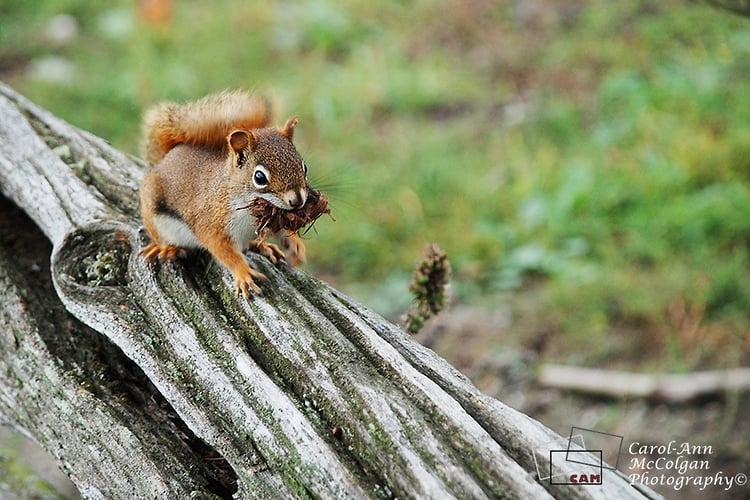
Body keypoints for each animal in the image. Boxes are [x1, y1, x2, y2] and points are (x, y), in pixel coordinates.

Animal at [139, 90, 309, 297]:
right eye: (259, 177)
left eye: (304, 167)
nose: (298, 200)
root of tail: (166, 158)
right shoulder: (212, 223)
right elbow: (224, 252)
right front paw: (243, 273)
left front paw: (295, 243)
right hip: (154, 212)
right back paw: (167, 249)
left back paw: (263, 246)